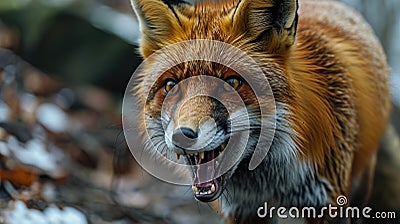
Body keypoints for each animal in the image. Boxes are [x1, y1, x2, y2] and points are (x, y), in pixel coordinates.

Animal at [130, 0, 390, 223]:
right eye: (171, 86)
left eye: (232, 83)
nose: (181, 136)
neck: (269, 184)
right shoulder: (245, 209)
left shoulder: (327, 200)